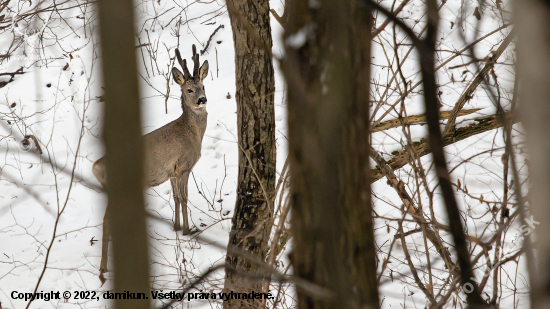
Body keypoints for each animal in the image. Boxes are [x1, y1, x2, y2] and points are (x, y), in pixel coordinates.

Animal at [92, 45, 209, 274]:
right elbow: (184, 198)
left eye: (203, 86)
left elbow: (175, 198)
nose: (203, 100)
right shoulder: (184, 166)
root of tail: (96, 166)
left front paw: (176, 227)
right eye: (189, 90)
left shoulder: (172, 171)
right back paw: (103, 267)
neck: (191, 133)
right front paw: (187, 230)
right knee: (106, 220)